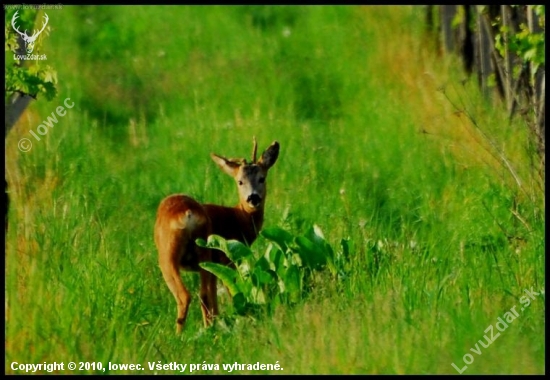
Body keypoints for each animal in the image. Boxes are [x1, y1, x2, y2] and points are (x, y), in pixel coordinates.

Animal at [155, 139, 282, 332]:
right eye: (240, 181)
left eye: (262, 178)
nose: (253, 198)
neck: (238, 218)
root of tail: (187, 213)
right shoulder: (225, 260)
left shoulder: (219, 263)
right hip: (189, 254)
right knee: (197, 295)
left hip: (185, 254)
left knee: (194, 295)